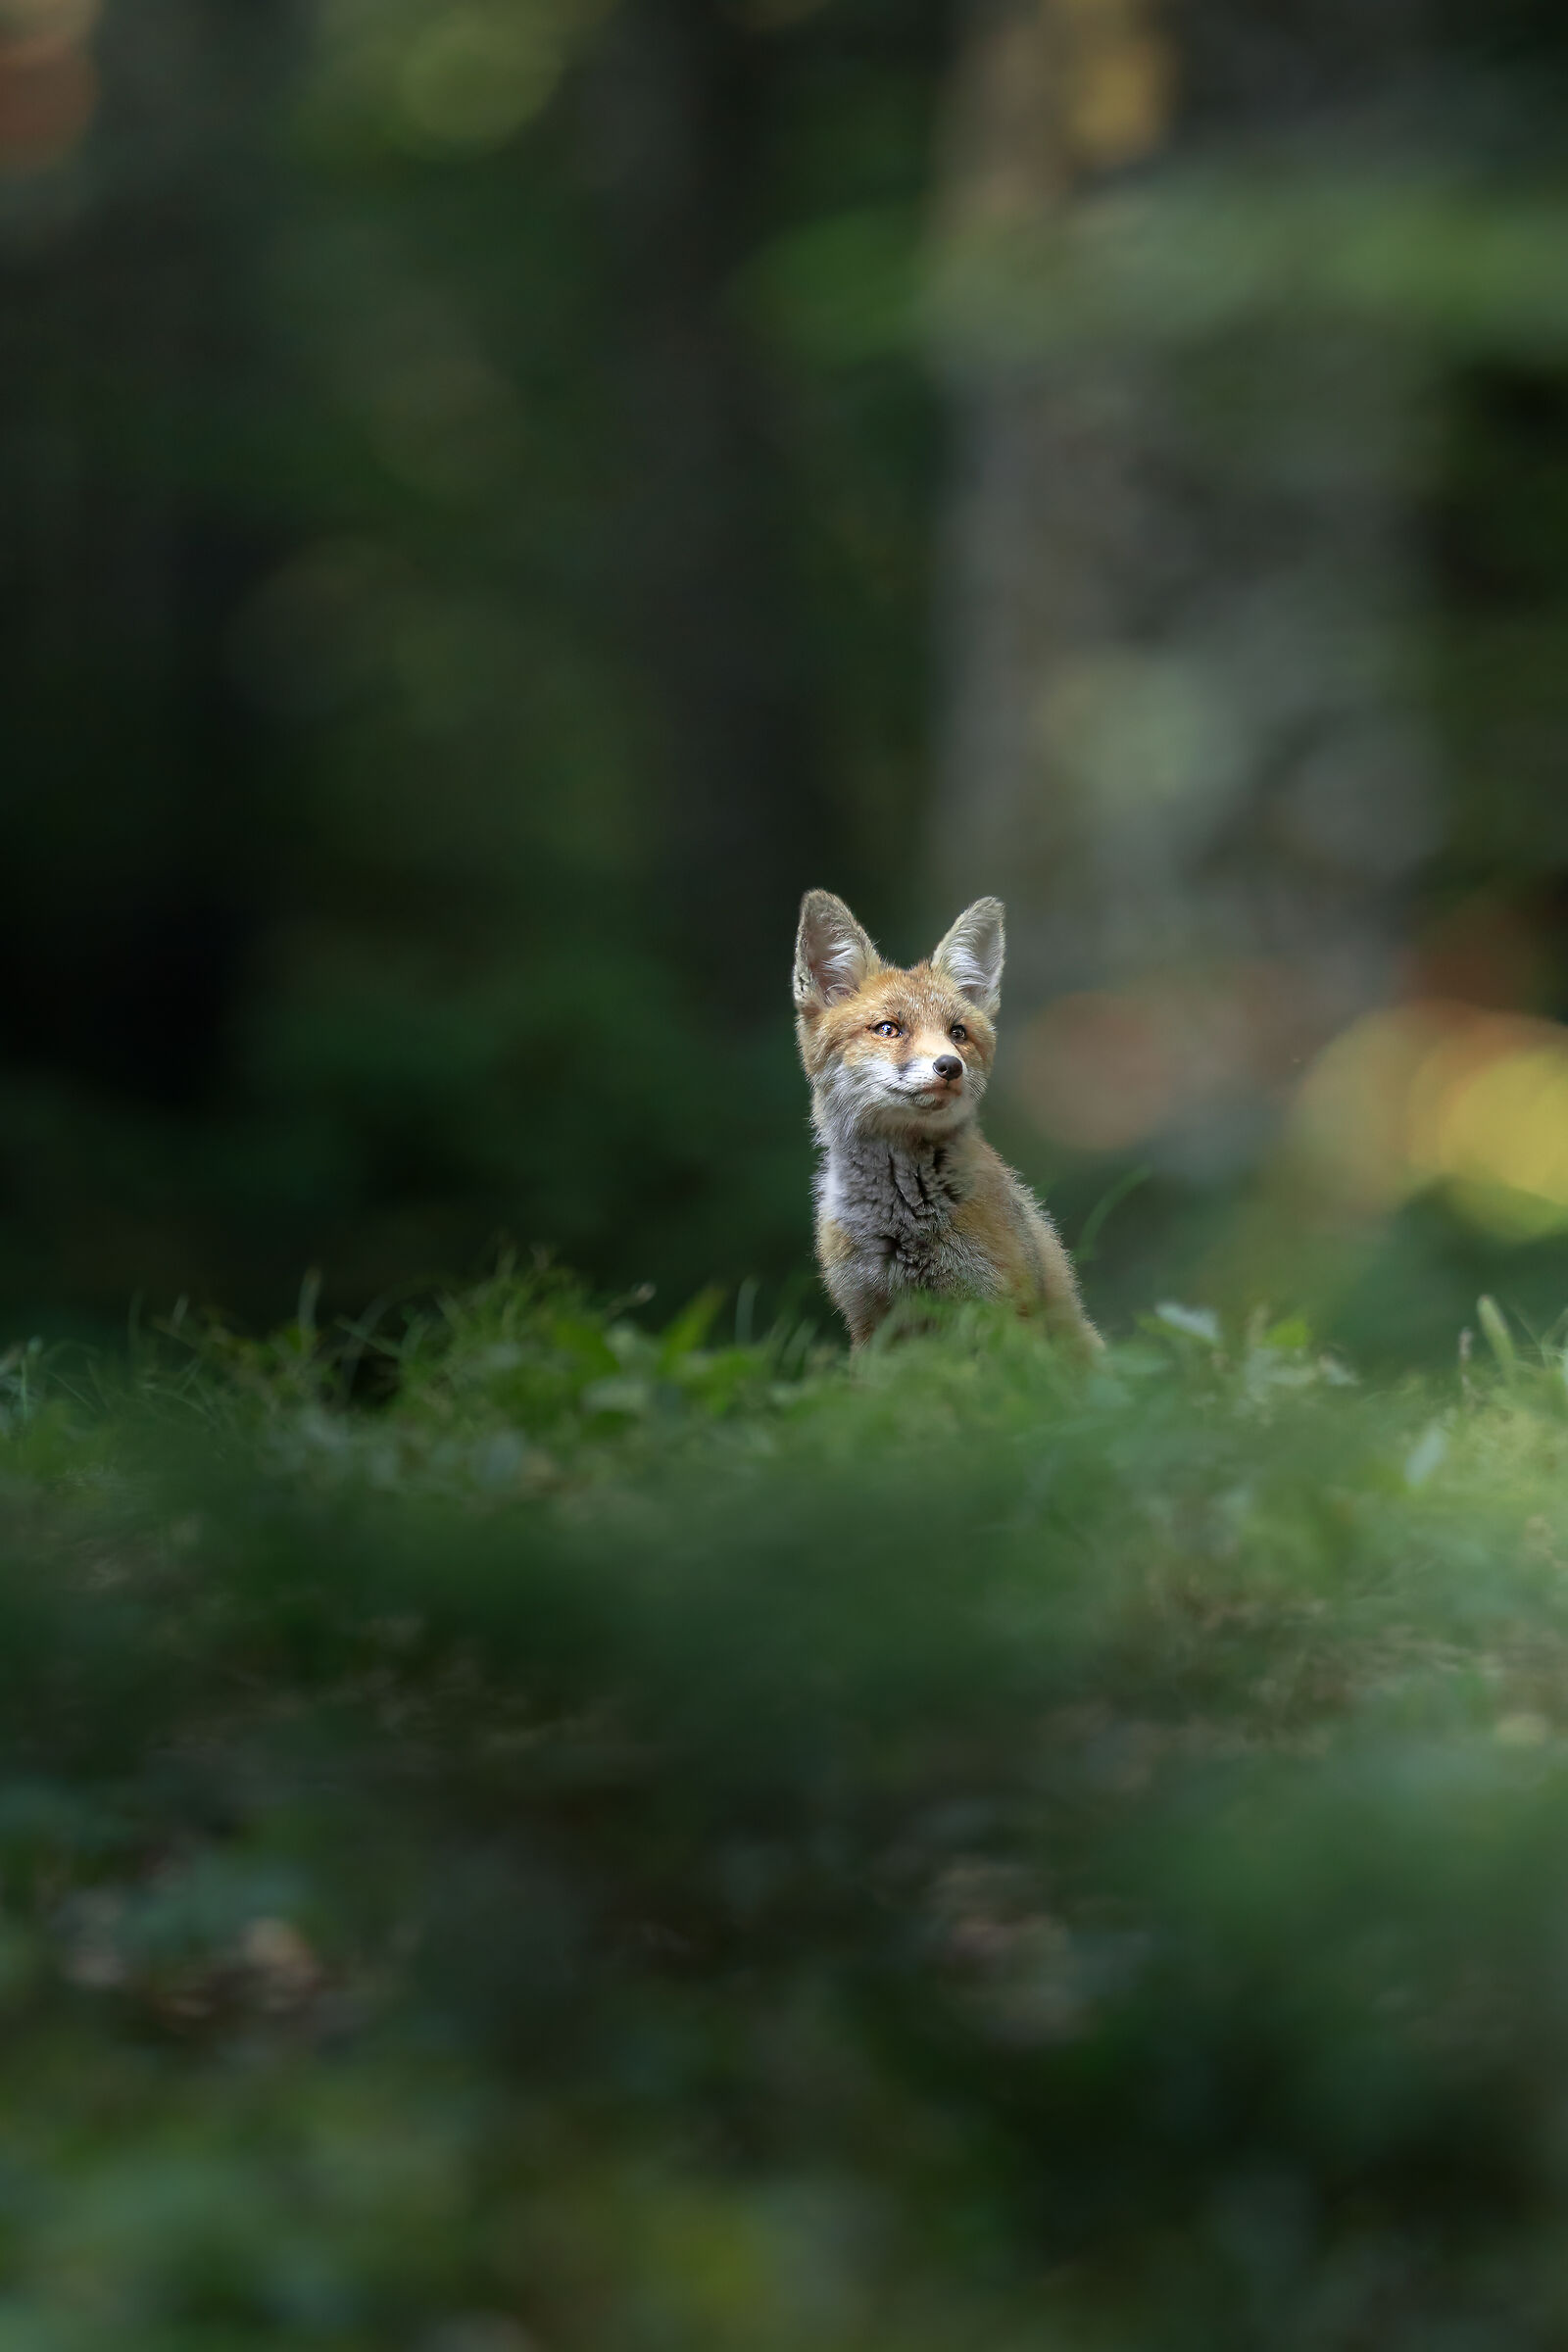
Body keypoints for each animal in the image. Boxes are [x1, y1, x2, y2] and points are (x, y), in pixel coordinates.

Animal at [792, 889, 1102, 1356]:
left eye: (958, 1033)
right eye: (888, 1029)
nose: (950, 1066)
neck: (904, 1218)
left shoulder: (1001, 1307)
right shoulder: (869, 1319)